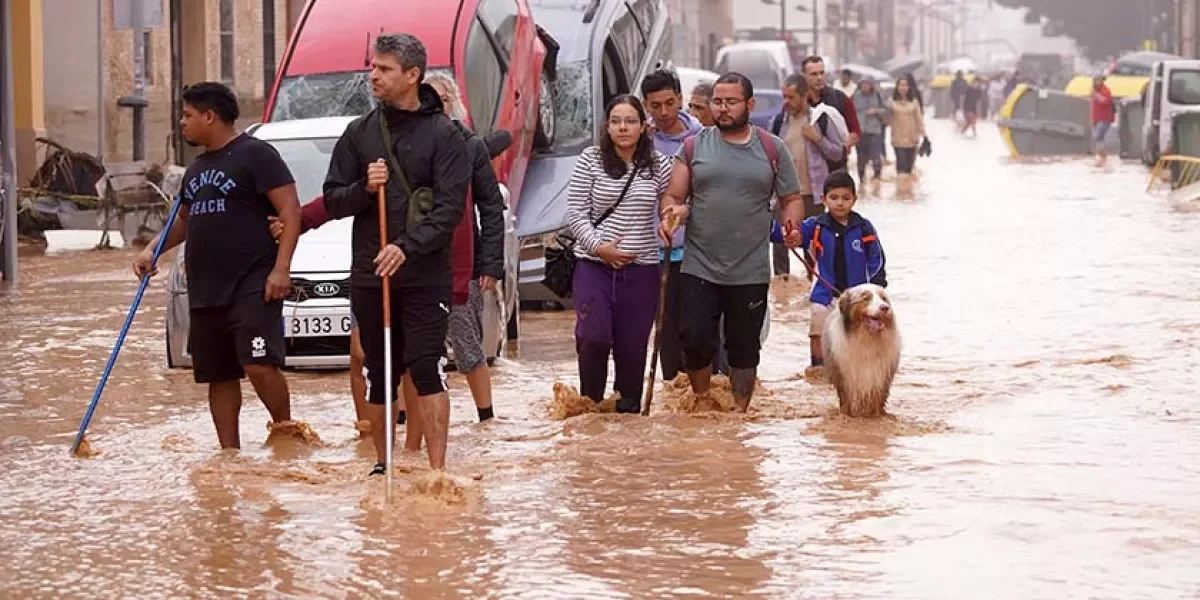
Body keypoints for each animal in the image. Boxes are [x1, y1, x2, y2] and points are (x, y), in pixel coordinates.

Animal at [825, 282, 902, 417]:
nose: (885, 308)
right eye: (865, 298)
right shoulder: (844, 374)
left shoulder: (881, 374)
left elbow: (878, 397)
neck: (867, 338)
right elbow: (846, 398)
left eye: (883, 298)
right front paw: (846, 415)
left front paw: (877, 415)